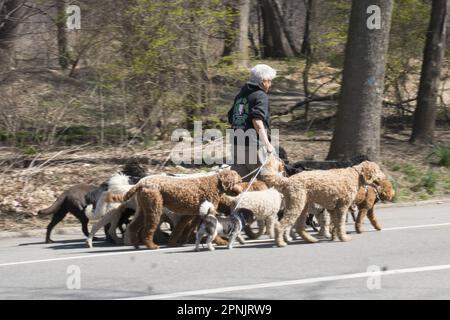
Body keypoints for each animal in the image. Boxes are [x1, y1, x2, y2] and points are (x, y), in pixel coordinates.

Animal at [108, 170, 243, 250]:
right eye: (239, 181)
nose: (242, 189)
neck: (215, 184)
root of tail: (140, 183)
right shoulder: (205, 213)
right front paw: (221, 242)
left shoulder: (191, 214)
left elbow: (182, 228)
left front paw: (176, 242)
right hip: (154, 208)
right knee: (147, 230)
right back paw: (151, 246)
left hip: (144, 208)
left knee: (133, 226)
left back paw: (136, 244)